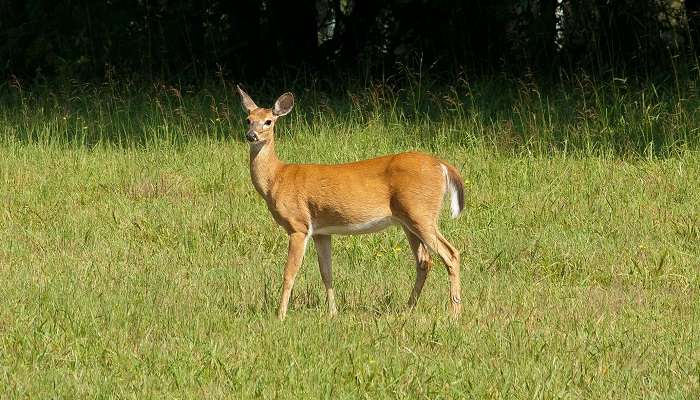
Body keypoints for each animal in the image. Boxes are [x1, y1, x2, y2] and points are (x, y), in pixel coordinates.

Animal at [237, 86, 464, 320]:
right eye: (248, 119)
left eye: (268, 121)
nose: (251, 135)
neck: (277, 178)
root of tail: (442, 165)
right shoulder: (321, 231)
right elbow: (326, 272)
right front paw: (333, 313)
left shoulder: (298, 225)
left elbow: (289, 273)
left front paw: (280, 315)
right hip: (408, 221)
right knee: (424, 261)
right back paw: (408, 308)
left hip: (421, 213)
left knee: (451, 254)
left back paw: (455, 313)